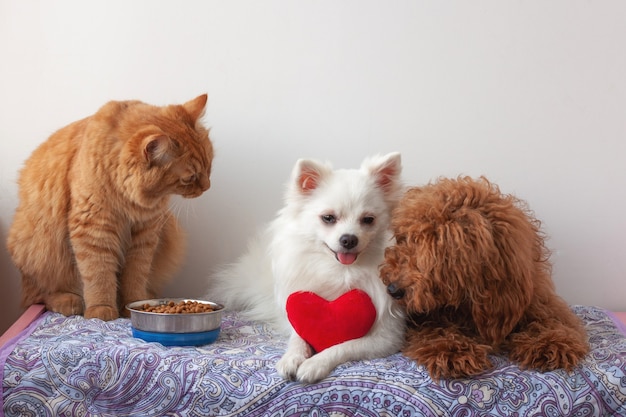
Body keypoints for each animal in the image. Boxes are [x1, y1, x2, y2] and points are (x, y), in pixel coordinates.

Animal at [6, 94, 214, 320]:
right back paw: (68, 301)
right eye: (189, 178)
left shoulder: (145, 234)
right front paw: (101, 310)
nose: (207, 186)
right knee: (38, 297)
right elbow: (99, 274)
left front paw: (133, 305)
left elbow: (135, 276)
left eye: (209, 166)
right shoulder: (94, 229)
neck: (127, 199)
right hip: (40, 247)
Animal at [208, 154, 404, 384]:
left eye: (368, 220)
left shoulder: (386, 337)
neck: (341, 271)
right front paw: (291, 358)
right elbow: (298, 337)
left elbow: (344, 346)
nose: (349, 239)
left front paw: (314, 364)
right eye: (328, 218)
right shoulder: (297, 311)